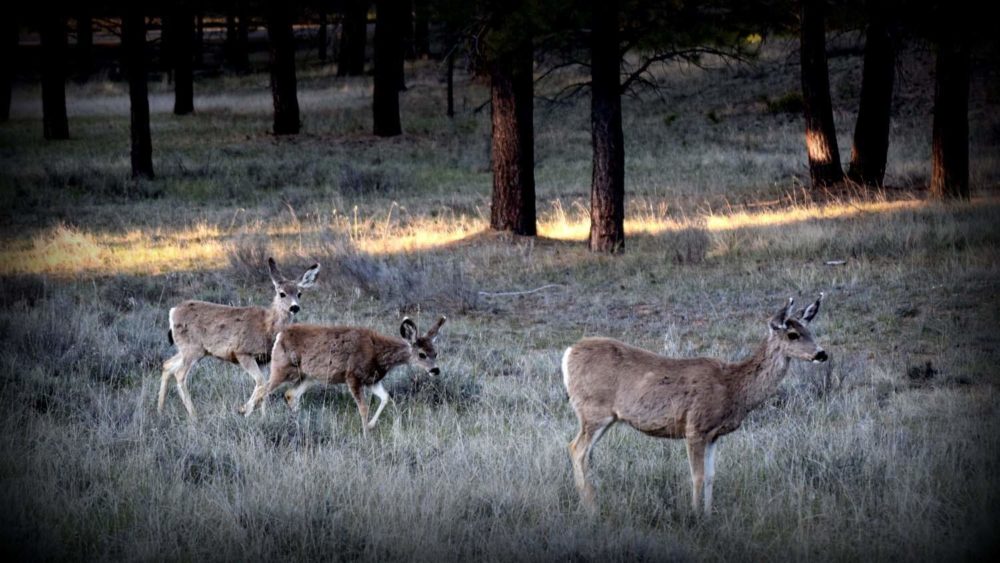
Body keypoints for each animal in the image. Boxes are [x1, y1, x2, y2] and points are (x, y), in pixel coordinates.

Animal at [159, 258, 320, 418]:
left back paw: (159, 408)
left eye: (299, 293)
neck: (267, 326)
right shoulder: (242, 352)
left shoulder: (264, 360)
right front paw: (246, 412)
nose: (294, 307)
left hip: (190, 349)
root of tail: (172, 312)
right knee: (179, 374)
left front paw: (261, 415)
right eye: (282, 293)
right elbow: (261, 382)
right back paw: (194, 416)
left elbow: (265, 384)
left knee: (167, 365)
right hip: (192, 348)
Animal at [238, 316, 446, 434]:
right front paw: (365, 432)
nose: (435, 370)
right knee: (264, 388)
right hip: (282, 367)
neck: (378, 353)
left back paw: (297, 420)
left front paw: (371, 426)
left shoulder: (372, 379)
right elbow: (363, 407)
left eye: (436, 352)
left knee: (289, 394)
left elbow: (386, 398)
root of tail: (280, 335)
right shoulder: (352, 375)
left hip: (308, 376)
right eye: (422, 354)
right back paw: (254, 416)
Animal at [564, 296, 828, 516]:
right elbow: (697, 476)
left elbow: (711, 476)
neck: (732, 387)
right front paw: (694, 516)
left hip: (606, 416)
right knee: (576, 449)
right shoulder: (695, 427)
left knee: (581, 451)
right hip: (593, 410)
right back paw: (592, 510)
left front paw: (709, 515)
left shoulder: (713, 434)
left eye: (809, 330)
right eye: (793, 334)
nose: (822, 354)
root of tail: (567, 353)